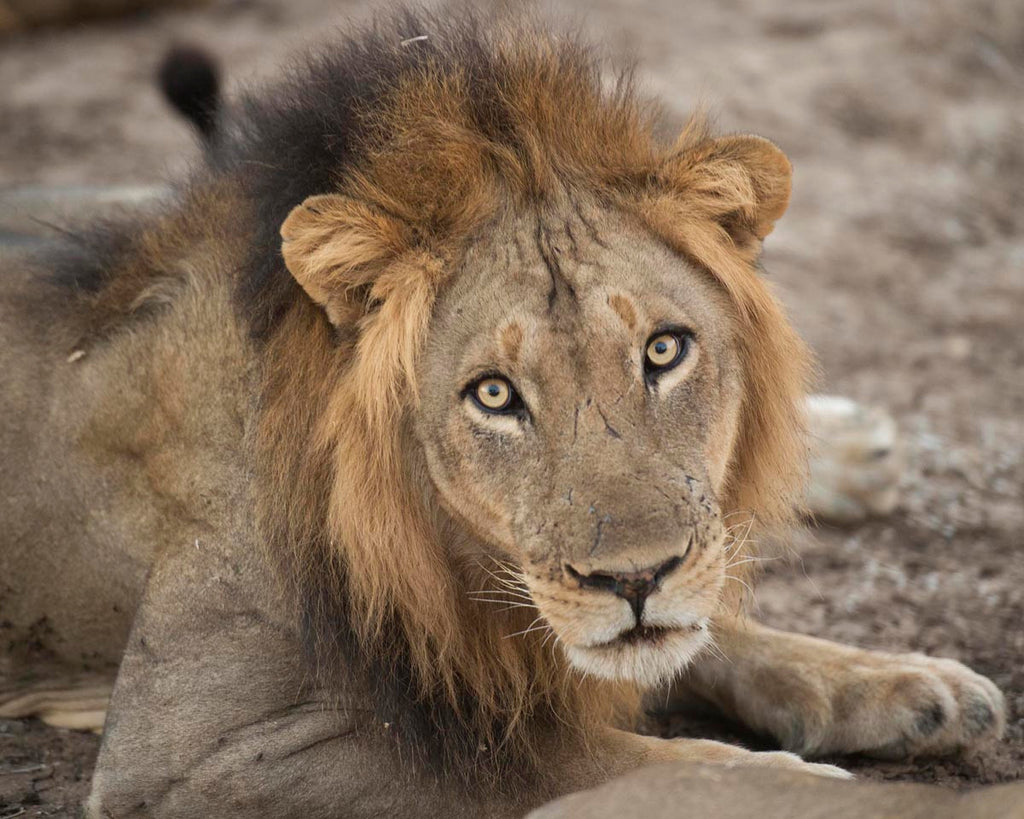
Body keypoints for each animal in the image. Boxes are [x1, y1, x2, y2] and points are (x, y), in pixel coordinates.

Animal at [0, 11, 1005, 817]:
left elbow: (714, 629)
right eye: (494, 394)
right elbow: (581, 761)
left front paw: (908, 682)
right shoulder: (186, 751)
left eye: (664, 350)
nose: (634, 579)